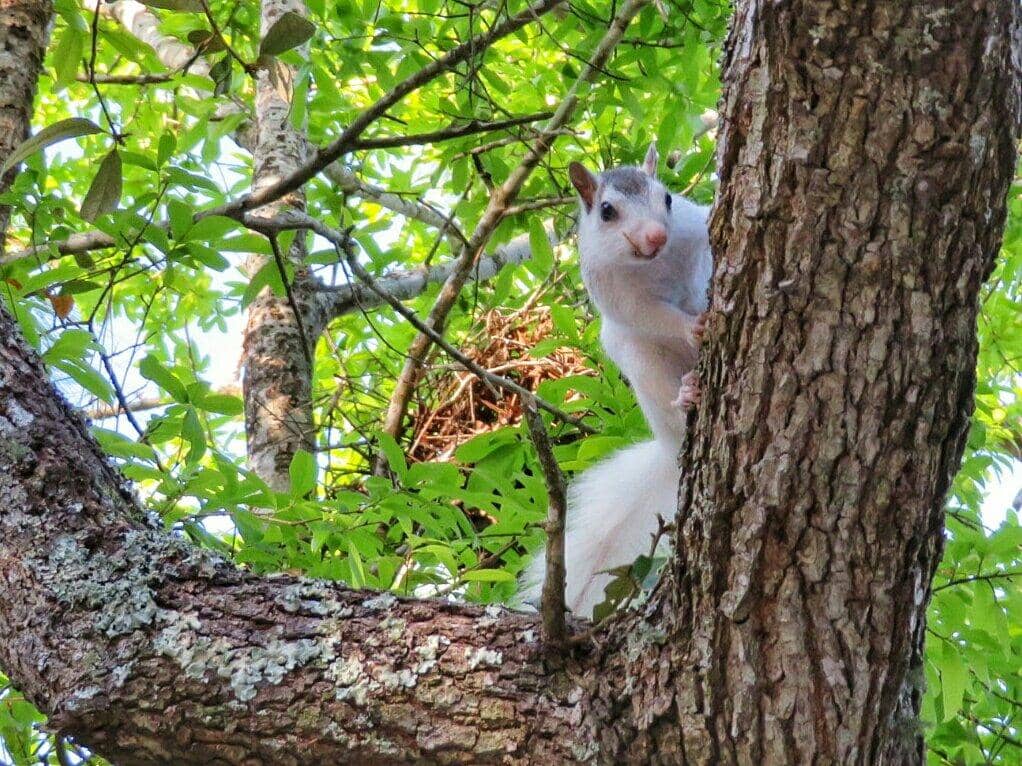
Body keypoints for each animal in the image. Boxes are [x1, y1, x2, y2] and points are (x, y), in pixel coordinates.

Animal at [519, 143, 712, 618]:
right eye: (607, 211)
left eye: (668, 199)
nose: (656, 237)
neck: (654, 264)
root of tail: (667, 451)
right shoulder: (618, 295)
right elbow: (651, 315)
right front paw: (691, 327)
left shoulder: (694, 231)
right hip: (641, 363)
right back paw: (686, 394)